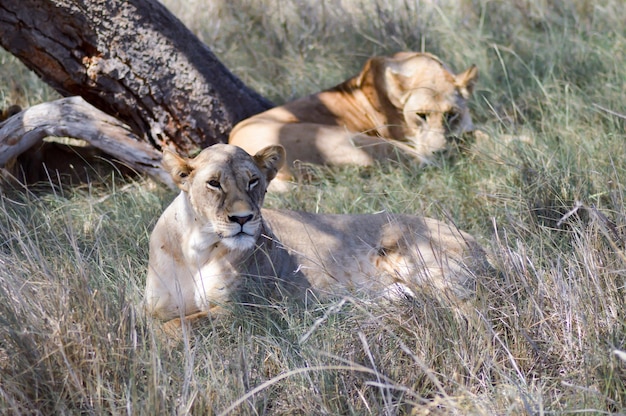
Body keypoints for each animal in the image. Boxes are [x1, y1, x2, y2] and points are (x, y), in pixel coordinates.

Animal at [143, 145, 488, 324]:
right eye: (214, 183)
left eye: (253, 181)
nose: (243, 219)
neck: (197, 248)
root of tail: (477, 242)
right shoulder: (155, 308)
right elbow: (158, 325)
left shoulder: (241, 311)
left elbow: (177, 328)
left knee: (470, 311)